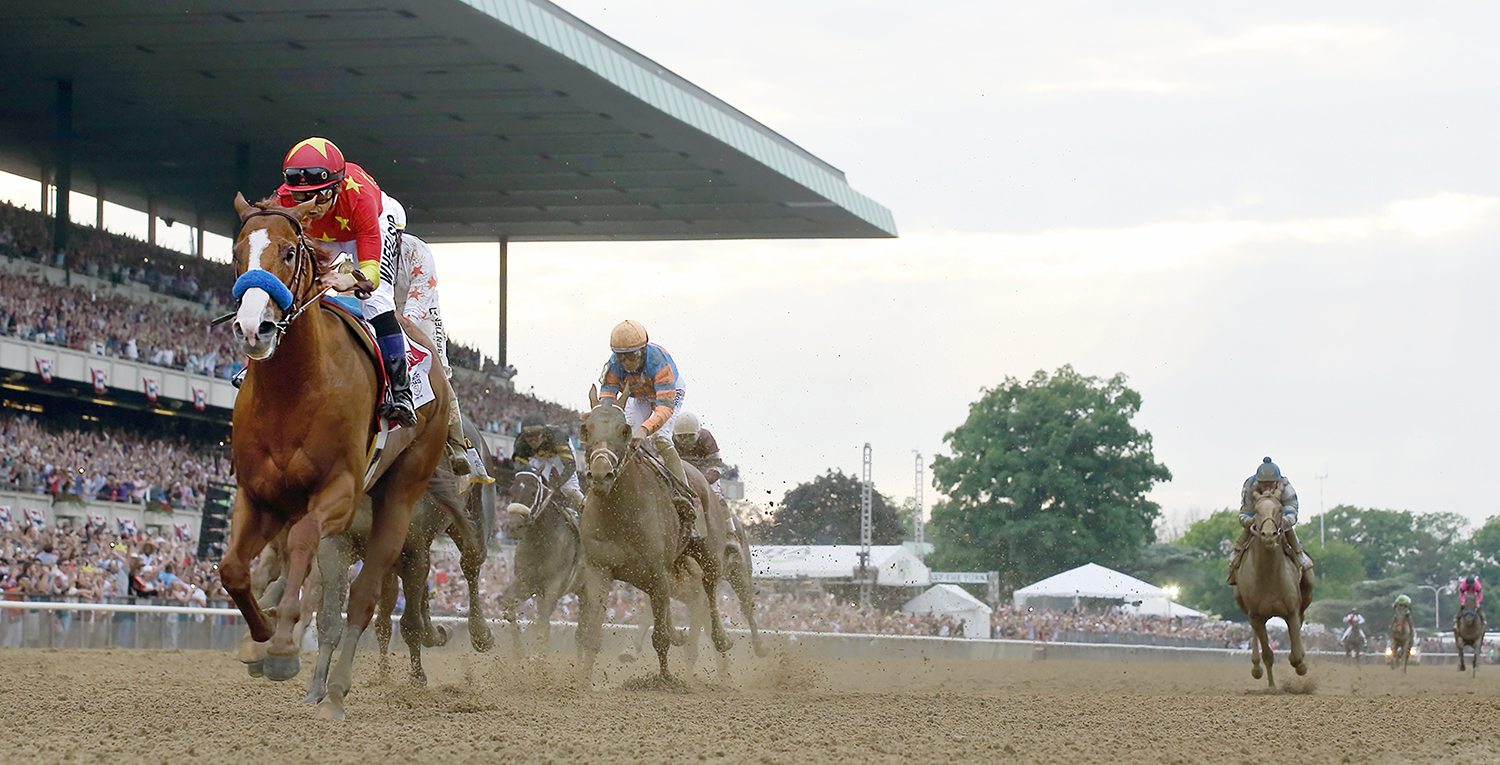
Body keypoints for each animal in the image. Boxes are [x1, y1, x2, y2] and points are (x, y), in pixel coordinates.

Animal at [217, 193, 450, 720]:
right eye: (236, 253)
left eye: (288, 252)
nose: (253, 328)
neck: (294, 389)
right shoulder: (257, 496)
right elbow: (234, 569)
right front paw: (262, 635)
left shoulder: (338, 491)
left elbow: (304, 543)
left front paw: (282, 646)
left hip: (399, 499)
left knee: (364, 599)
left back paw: (336, 692)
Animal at [570, 387, 729, 687]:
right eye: (585, 429)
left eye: (624, 431)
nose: (601, 474)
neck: (619, 511)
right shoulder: (598, 569)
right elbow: (592, 634)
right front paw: (582, 680)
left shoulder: (657, 571)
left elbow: (660, 638)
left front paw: (665, 679)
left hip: (709, 553)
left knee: (710, 590)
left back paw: (721, 639)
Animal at [1230, 495, 1314, 687]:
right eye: (1257, 510)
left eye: (1280, 509)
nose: (1269, 535)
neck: (1268, 578)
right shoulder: (1255, 615)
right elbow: (1267, 653)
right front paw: (1272, 686)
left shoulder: (1291, 612)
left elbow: (1296, 655)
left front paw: (1301, 665)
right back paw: (1256, 667)